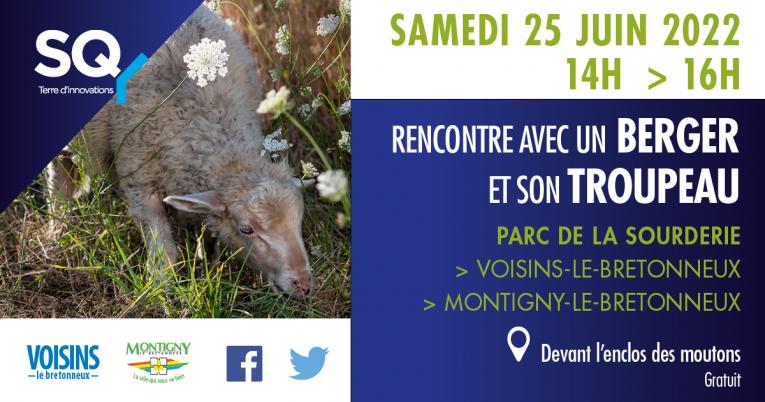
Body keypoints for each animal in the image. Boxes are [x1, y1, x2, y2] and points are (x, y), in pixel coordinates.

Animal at [46, 4, 314, 297]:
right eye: (246, 229)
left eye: (299, 220)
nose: (303, 283)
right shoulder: (139, 177)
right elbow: (163, 250)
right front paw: (159, 288)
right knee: (58, 179)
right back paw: (56, 229)